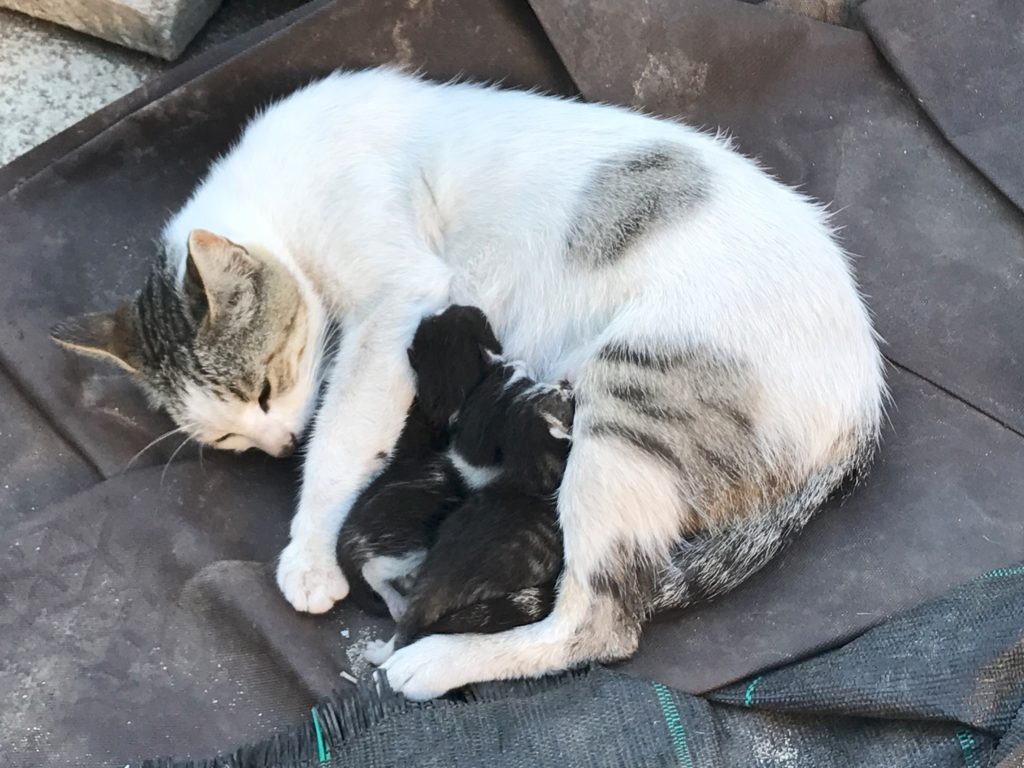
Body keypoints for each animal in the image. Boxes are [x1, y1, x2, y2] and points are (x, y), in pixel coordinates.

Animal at [56, 69, 884, 700]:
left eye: (264, 386)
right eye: (228, 433)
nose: (274, 443)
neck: (279, 199)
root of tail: (861, 405)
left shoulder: (399, 302)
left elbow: (342, 439)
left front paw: (308, 551)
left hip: (629, 406)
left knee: (601, 626)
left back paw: (435, 662)